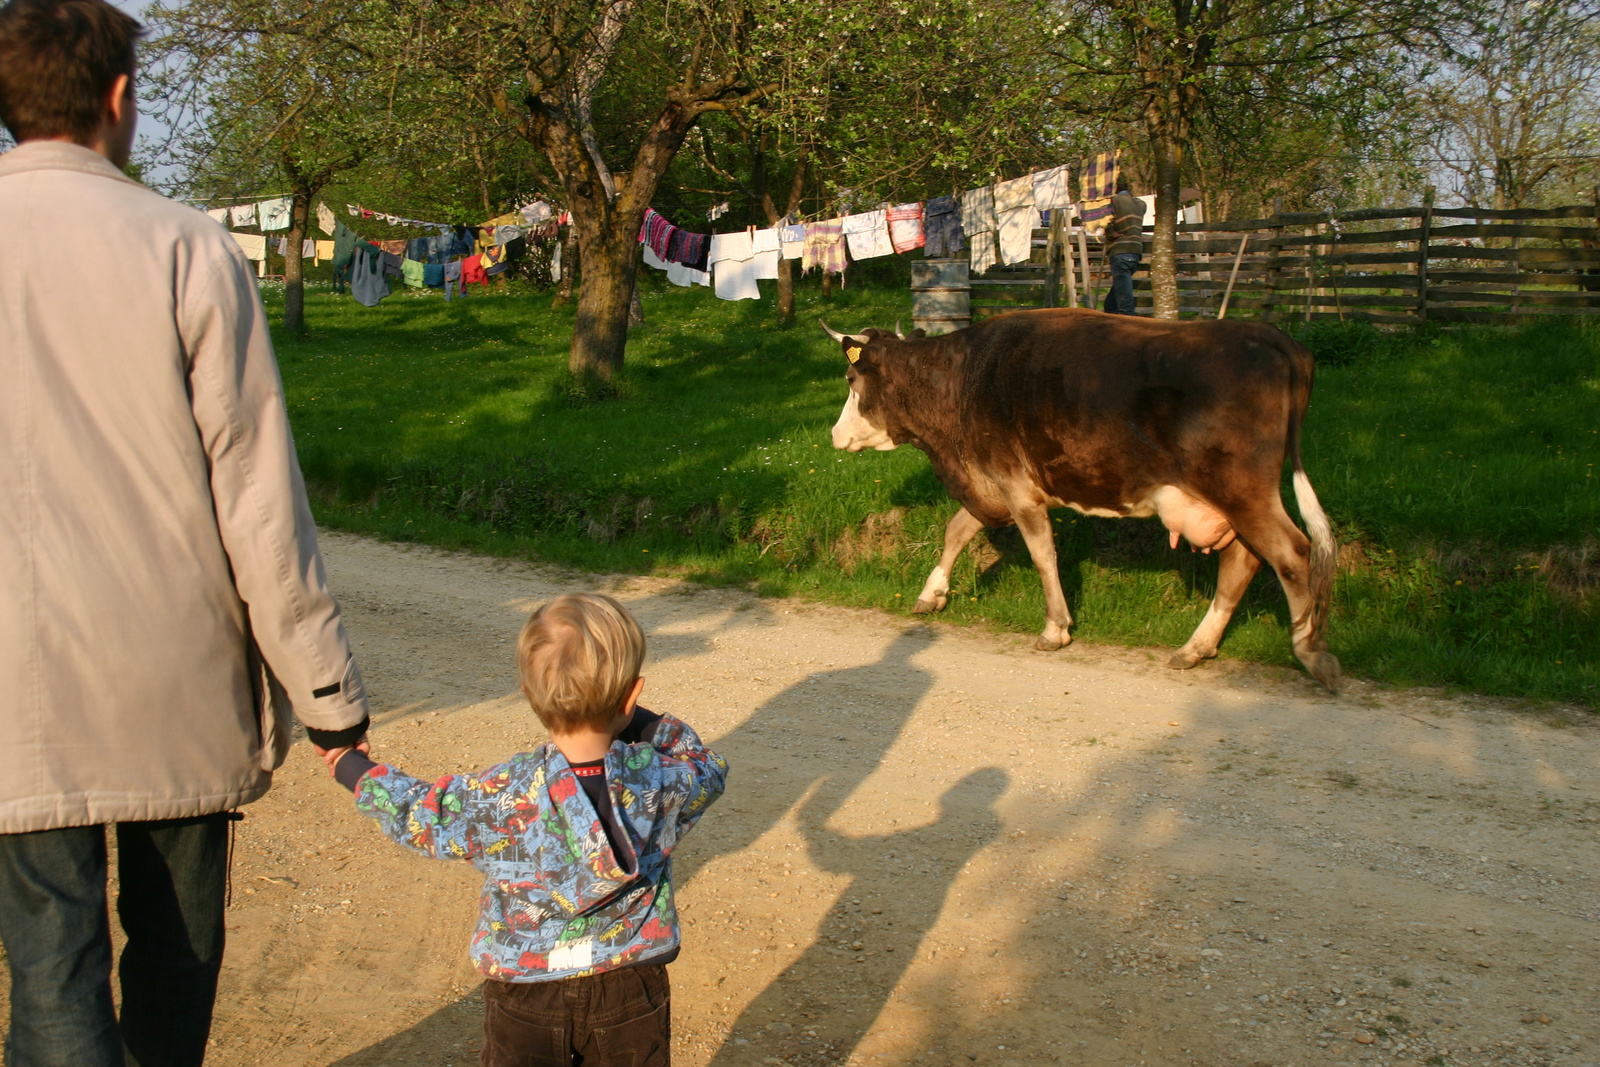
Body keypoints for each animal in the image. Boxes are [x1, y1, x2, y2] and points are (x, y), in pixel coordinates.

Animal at [825, 308, 1337, 694]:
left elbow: (1042, 554)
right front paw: (931, 594)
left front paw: (1055, 628)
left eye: (850, 376)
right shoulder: (991, 480)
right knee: (1243, 561)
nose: (833, 434)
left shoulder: (1015, 483)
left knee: (1292, 554)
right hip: (1234, 498)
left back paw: (1310, 649)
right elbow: (957, 530)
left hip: (1242, 489)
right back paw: (1196, 648)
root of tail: (1274, 337)